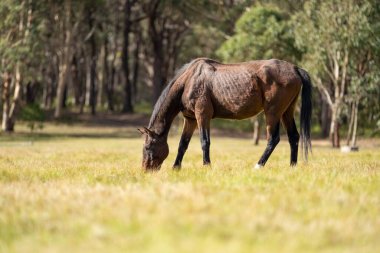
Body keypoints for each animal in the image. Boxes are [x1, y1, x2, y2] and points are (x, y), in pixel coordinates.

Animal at [138, 57, 310, 170]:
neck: (189, 80)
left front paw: (207, 166)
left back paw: (258, 166)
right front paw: (176, 168)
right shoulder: (190, 119)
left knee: (273, 139)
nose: (146, 170)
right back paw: (292, 167)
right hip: (287, 111)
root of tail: (295, 68)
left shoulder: (202, 115)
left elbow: (204, 142)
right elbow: (183, 144)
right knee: (294, 137)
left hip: (273, 113)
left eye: (147, 147)